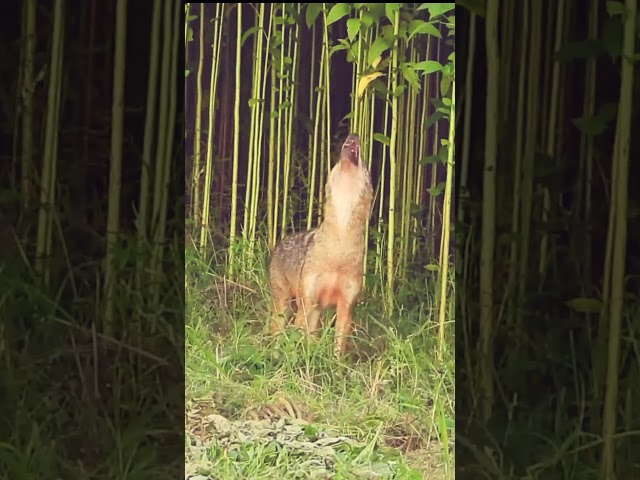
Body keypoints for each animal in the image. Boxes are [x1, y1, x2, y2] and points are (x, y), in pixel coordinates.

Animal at [269, 133, 374, 357]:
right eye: (335, 164)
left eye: (367, 168)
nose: (353, 135)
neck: (339, 248)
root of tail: (280, 243)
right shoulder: (308, 301)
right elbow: (298, 339)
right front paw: (296, 361)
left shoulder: (345, 306)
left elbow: (338, 346)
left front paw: (335, 365)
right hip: (286, 305)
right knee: (277, 332)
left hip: (315, 311)